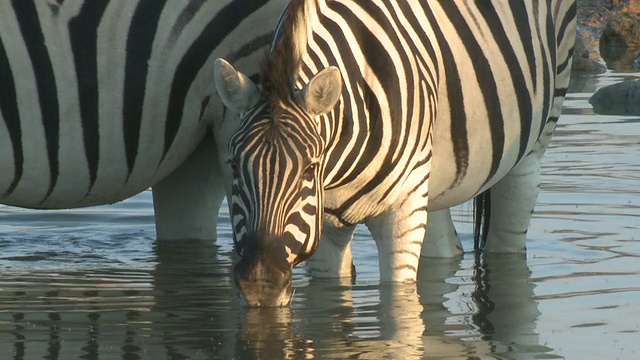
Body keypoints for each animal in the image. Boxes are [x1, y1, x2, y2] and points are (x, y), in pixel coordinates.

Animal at [214, 0, 576, 306]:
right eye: (232, 166)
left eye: (308, 169)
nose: (260, 286)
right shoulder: (323, 229)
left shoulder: (402, 209)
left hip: (538, 129)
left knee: (509, 231)